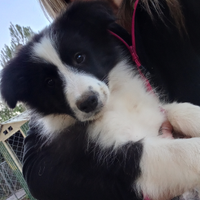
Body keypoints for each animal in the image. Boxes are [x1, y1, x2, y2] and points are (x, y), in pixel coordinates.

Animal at [1, 1, 200, 200]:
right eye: (49, 82)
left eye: (79, 57)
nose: (88, 102)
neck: (114, 106)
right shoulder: (112, 162)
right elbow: (181, 152)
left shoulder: (152, 111)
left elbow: (179, 109)